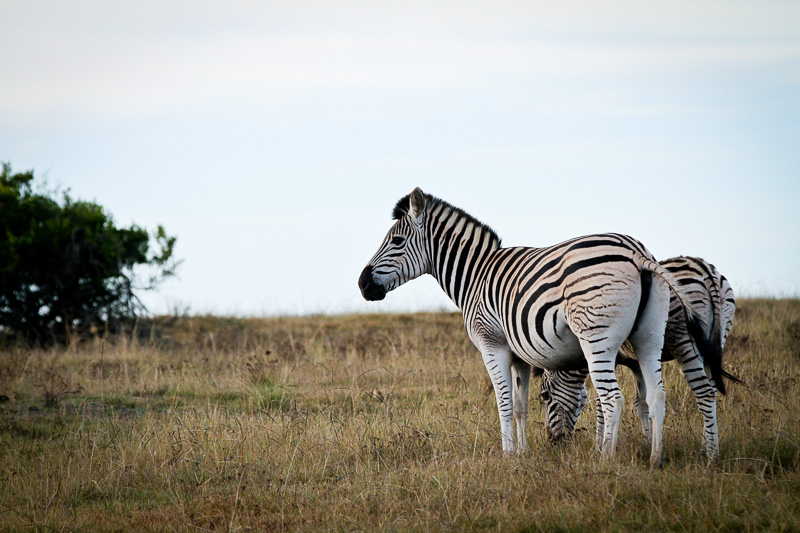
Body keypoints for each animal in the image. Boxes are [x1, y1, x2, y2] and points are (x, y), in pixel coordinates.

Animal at [358, 188, 712, 466]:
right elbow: (519, 406)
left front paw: (506, 454)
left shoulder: (492, 345)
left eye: (397, 240)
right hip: (648, 337)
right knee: (657, 394)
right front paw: (522, 454)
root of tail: (637, 253)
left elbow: (502, 403)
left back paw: (605, 460)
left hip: (597, 338)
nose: (362, 284)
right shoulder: (521, 357)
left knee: (613, 398)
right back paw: (656, 458)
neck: (476, 275)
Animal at [536, 256, 736, 460]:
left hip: (685, 341)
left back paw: (711, 455)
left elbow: (601, 403)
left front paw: (600, 446)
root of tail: (705, 270)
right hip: (716, 340)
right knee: (711, 390)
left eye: (544, 396)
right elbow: (642, 403)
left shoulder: (609, 357)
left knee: (705, 391)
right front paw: (648, 442)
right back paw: (706, 444)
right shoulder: (636, 363)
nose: (553, 442)